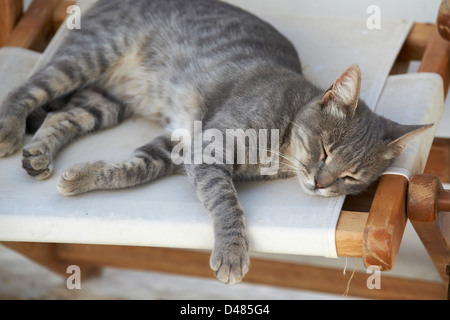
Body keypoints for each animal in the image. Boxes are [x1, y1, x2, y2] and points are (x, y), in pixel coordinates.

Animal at [0, 0, 430, 284]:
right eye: (324, 149)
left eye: (352, 177)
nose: (321, 183)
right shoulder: (206, 151)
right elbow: (226, 201)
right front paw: (232, 250)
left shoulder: (178, 145)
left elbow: (132, 169)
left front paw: (85, 177)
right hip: (88, 57)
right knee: (27, 90)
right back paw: (10, 129)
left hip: (106, 102)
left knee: (61, 116)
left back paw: (39, 153)